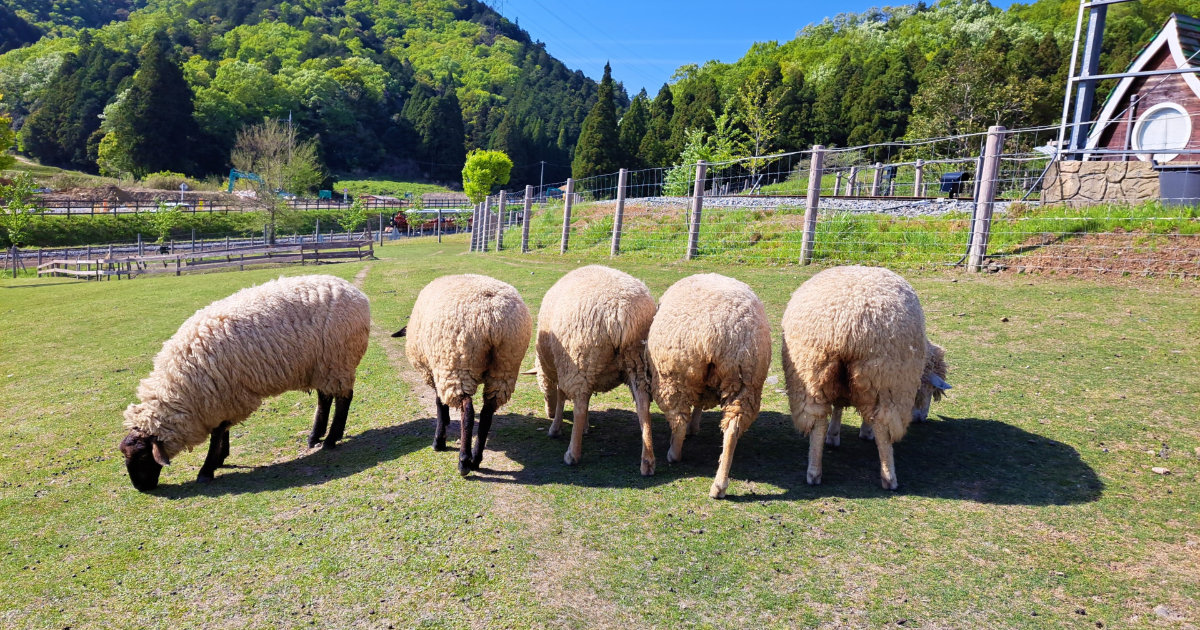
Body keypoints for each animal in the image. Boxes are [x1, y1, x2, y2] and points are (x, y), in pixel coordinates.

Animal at [119, 274, 369, 492]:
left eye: (142, 454)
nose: (140, 488)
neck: (182, 387)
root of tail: (356, 293)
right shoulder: (224, 396)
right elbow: (224, 429)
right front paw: (220, 458)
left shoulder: (223, 395)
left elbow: (218, 432)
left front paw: (207, 469)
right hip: (321, 366)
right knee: (325, 398)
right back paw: (315, 436)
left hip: (337, 360)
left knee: (344, 398)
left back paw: (331, 439)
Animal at [396, 272, 532, 475]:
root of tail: (493, 316)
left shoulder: (434, 370)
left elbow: (439, 402)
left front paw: (440, 437)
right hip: (505, 365)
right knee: (487, 412)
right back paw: (476, 459)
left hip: (456, 365)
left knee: (467, 410)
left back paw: (463, 461)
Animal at [532, 262, 657, 475]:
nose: (548, 414)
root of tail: (621, 312)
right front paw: (585, 427)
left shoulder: (563, 367)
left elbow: (562, 397)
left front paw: (556, 427)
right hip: (638, 362)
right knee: (643, 406)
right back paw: (648, 461)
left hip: (579, 360)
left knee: (580, 406)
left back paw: (572, 454)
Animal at [648, 272, 768, 499]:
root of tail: (718, 330)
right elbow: (699, 404)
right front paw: (695, 426)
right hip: (745, 381)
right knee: (732, 429)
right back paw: (719, 485)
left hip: (673, 377)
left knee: (678, 420)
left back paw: (673, 453)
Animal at [777, 262, 955, 489]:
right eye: (931, 389)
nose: (921, 418)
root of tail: (845, 325)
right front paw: (864, 432)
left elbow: (838, 407)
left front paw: (833, 436)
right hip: (884, 379)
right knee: (882, 426)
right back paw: (889, 477)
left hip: (811, 371)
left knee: (817, 421)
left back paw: (814, 472)